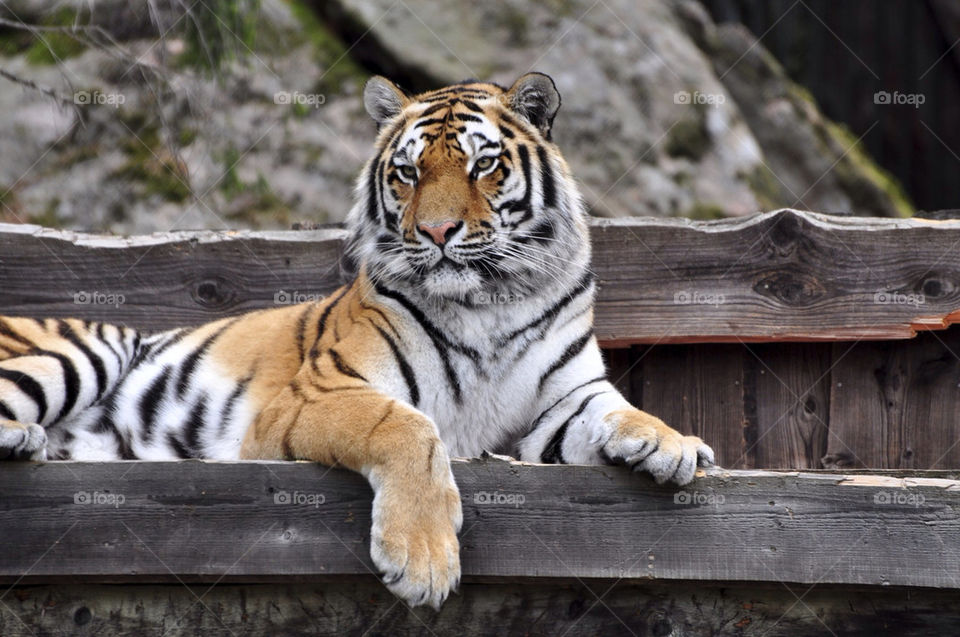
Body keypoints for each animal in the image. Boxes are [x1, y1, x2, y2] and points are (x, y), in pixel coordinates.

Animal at [0, 73, 714, 608]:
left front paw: (671, 445)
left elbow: (617, 409)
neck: (489, 299)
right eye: (407, 172)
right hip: (93, 345)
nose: (436, 232)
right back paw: (21, 438)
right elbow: (408, 427)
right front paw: (423, 562)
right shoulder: (315, 393)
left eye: (483, 165)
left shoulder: (564, 400)